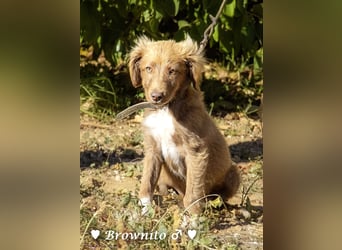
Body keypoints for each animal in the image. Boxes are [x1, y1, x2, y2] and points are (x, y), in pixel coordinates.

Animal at [128, 36, 240, 214]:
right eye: (148, 68)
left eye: (172, 71)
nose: (156, 96)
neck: (166, 109)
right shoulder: (153, 148)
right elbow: (146, 183)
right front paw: (144, 212)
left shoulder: (196, 150)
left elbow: (193, 194)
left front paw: (192, 219)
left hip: (233, 174)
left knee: (216, 196)